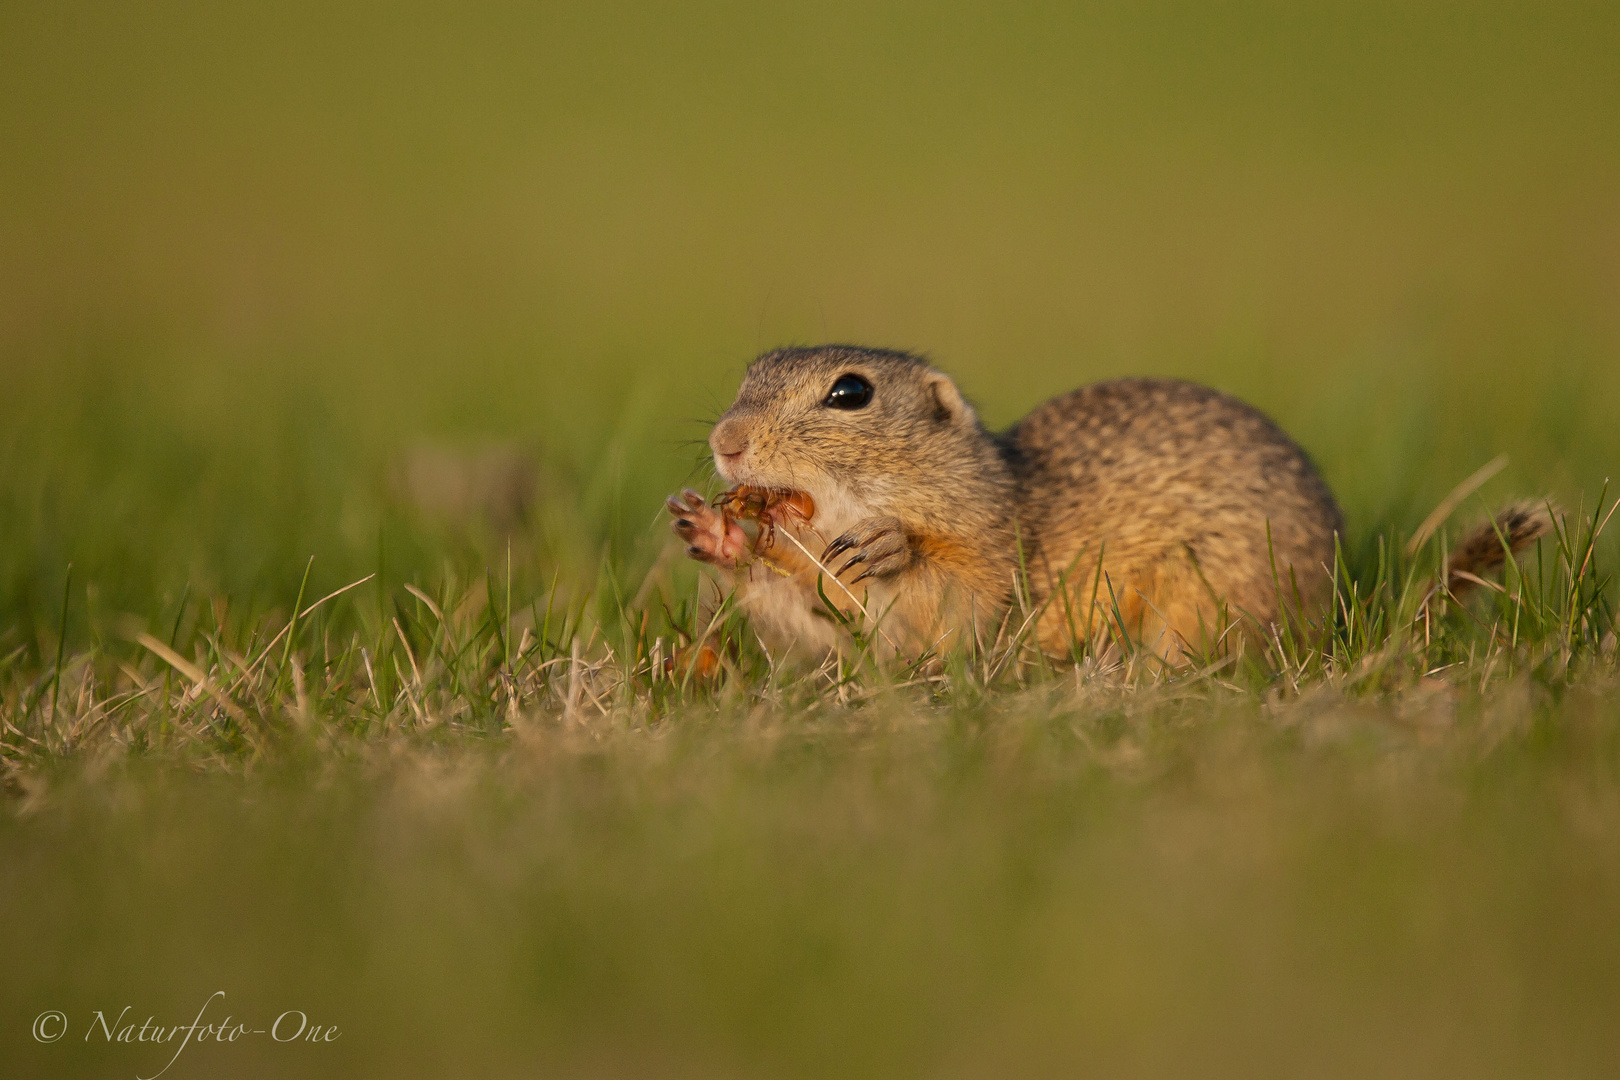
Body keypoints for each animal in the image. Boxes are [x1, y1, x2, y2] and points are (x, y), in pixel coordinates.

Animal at [667, 346, 1542, 667]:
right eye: (749, 372)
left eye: (850, 393)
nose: (725, 441)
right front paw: (715, 533)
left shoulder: (990, 560)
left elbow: (939, 608)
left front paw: (890, 549)